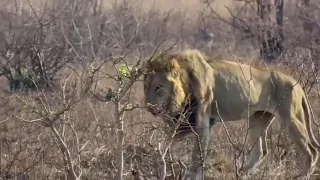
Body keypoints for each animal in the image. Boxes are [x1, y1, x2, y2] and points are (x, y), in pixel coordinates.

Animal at [143, 49, 320, 180]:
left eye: (158, 87)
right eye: (146, 87)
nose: (148, 107)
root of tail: (297, 84)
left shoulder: (202, 122)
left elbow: (197, 156)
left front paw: (190, 175)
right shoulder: (183, 124)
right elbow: (166, 145)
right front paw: (162, 163)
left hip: (291, 119)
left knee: (312, 151)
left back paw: (303, 176)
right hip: (257, 119)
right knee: (260, 151)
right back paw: (241, 172)